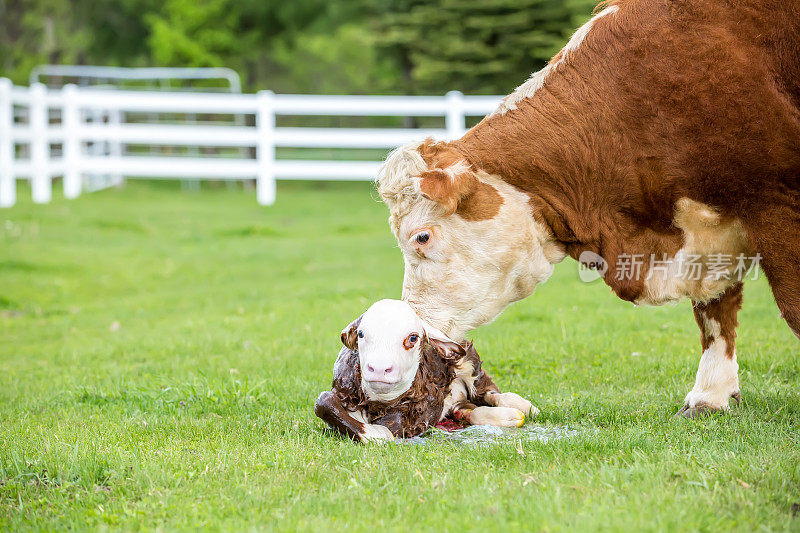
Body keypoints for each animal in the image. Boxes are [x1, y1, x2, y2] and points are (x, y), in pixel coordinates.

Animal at [314, 300, 536, 440]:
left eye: (413, 337)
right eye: (360, 333)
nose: (379, 368)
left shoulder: (414, 414)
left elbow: (390, 427)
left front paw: (375, 433)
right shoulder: (342, 385)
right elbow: (323, 402)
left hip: (470, 361)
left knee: (487, 391)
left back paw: (521, 406)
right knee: (467, 410)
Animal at [376, 0, 800, 418]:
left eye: (421, 237)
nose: (411, 327)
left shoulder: (773, 205)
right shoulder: (707, 237)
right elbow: (714, 313)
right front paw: (709, 396)